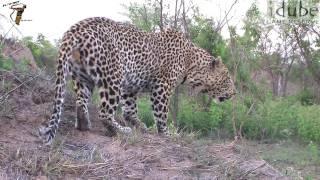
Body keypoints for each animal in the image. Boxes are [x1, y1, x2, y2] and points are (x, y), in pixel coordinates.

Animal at [38, 16, 236, 145]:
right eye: (227, 79)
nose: (234, 93)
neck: (191, 63)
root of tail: (75, 29)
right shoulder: (162, 86)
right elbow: (161, 114)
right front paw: (167, 133)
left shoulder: (130, 87)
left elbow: (130, 110)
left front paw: (140, 126)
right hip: (112, 77)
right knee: (104, 113)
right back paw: (121, 131)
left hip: (82, 78)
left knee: (81, 102)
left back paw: (84, 125)